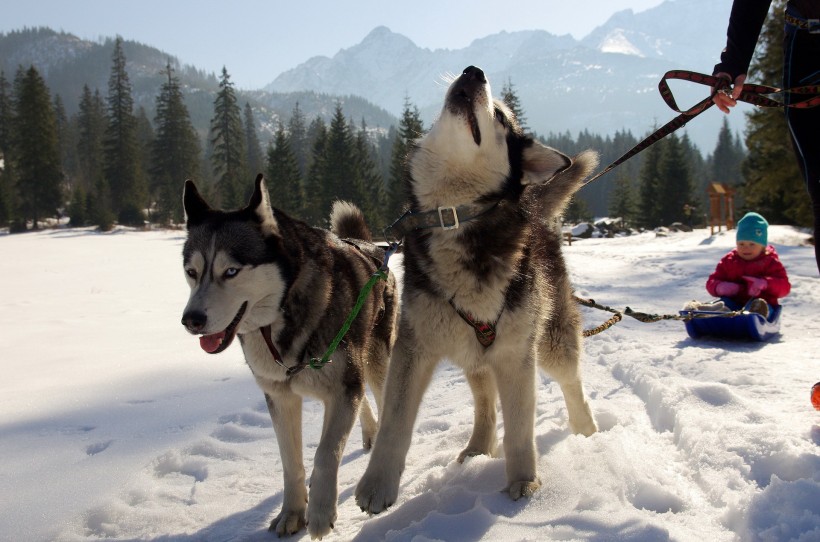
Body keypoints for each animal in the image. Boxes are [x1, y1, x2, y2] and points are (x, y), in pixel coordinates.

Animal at [181, 177, 398, 540]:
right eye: (191, 272)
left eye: (231, 271)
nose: (191, 320)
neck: (278, 324)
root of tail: (371, 246)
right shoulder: (280, 397)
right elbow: (290, 463)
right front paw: (293, 512)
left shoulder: (342, 388)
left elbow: (325, 453)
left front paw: (321, 513)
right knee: (365, 401)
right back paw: (369, 433)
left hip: (376, 360)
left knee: (382, 398)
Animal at [356, 66, 600, 516]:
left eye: (501, 117)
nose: (474, 71)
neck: (454, 215)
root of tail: (536, 209)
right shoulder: (413, 348)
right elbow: (394, 424)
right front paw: (377, 485)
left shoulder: (517, 353)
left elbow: (520, 429)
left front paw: (524, 481)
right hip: (472, 352)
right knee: (485, 402)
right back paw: (478, 447)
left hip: (549, 341)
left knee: (572, 383)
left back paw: (587, 431)